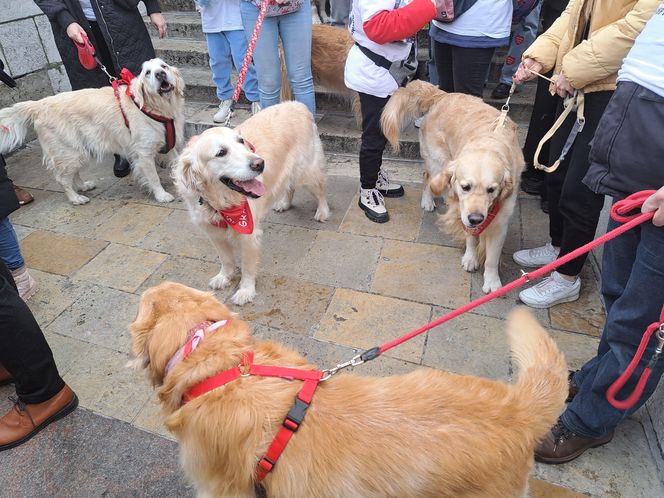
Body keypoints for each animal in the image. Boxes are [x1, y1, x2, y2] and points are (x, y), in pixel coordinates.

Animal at [0, 57, 184, 204]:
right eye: (147, 73)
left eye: (164, 66)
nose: (160, 74)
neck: (156, 108)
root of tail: (39, 104)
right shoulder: (143, 154)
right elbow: (153, 177)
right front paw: (162, 195)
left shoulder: (169, 145)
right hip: (68, 151)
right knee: (62, 179)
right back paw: (75, 198)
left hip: (78, 150)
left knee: (73, 174)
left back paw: (83, 186)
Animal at [174, 100, 330, 304]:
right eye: (221, 152)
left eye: (241, 141)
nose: (260, 163)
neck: (221, 202)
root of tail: (297, 104)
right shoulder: (212, 231)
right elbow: (225, 259)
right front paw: (224, 276)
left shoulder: (248, 233)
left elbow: (247, 267)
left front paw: (245, 291)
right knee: (289, 186)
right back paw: (284, 203)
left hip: (306, 171)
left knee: (320, 188)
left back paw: (323, 212)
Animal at [378, 80, 524, 294]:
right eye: (465, 187)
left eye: (492, 190)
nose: (475, 218)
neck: (489, 143)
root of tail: (442, 95)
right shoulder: (464, 210)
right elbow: (471, 237)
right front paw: (470, 258)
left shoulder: (501, 219)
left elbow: (492, 257)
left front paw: (492, 282)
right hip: (437, 160)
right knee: (428, 178)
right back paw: (428, 200)